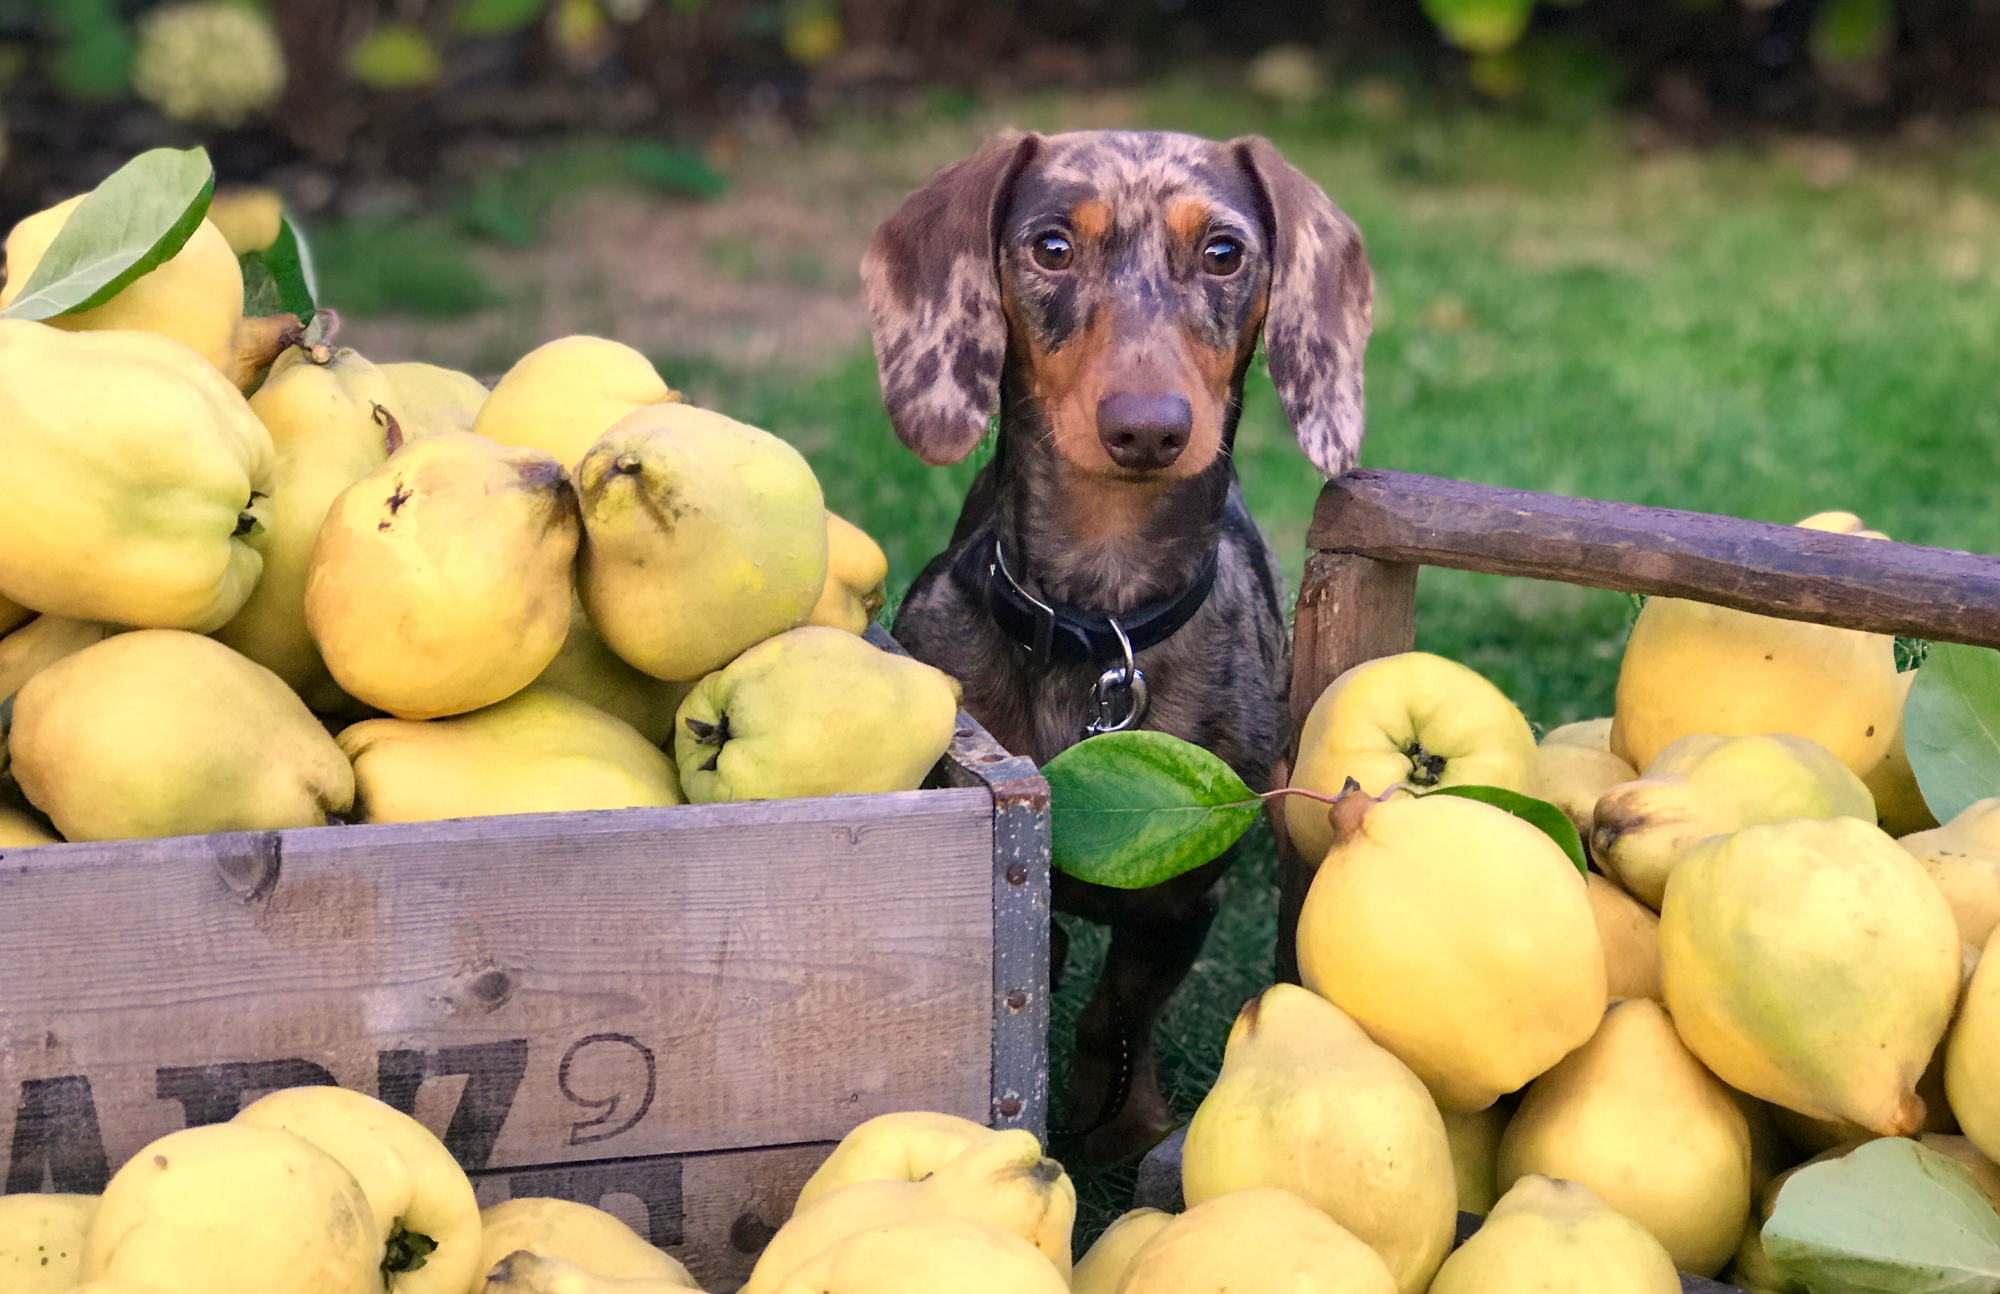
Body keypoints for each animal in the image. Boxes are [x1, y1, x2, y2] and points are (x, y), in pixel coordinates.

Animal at [860, 132, 1376, 1168]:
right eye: (1052, 246)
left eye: (1224, 252)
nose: (1147, 427)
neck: (1101, 625)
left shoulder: (1182, 902)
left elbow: (1121, 1009)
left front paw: (1121, 1119)